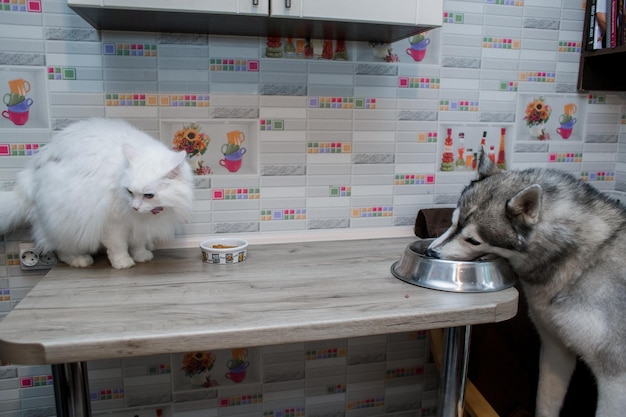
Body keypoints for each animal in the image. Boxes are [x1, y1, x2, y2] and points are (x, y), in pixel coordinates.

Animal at [0, 118, 193, 268]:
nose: (135, 207)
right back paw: (80, 260)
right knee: (62, 251)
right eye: (129, 192)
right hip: (65, 221)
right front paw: (123, 263)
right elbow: (118, 246)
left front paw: (141, 256)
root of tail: (30, 174)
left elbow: (137, 243)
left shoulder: (139, 225)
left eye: (149, 195)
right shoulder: (113, 223)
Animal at [424, 152, 624, 416]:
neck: (575, 259)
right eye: (452, 222)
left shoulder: (615, 377)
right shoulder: (555, 347)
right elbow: (545, 405)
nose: (431, 253)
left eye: (473, 241)